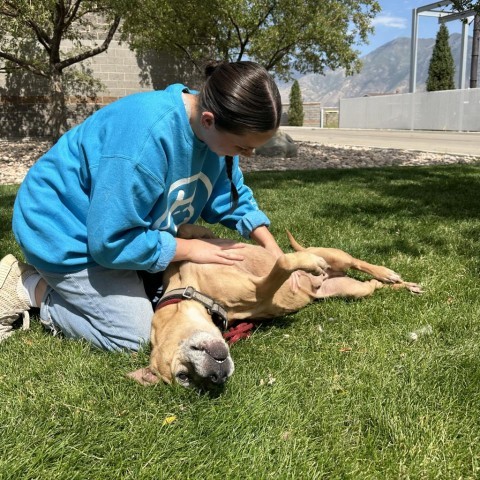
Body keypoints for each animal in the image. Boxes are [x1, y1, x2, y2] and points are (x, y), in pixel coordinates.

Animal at [128, 225, 420, 390]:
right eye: (185, 378)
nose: (215, 378)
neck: (189, 289)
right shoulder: (260, 289)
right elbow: (283, 263)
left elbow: (187, 231)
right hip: (352, 290)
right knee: (372, 285)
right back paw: (400, 283)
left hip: (336, 256)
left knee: (359, 263)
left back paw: (389, 274)